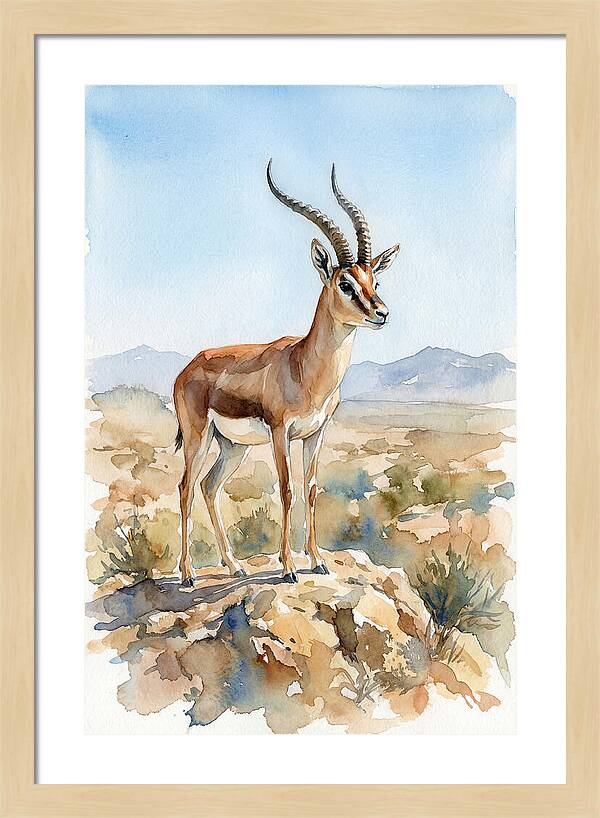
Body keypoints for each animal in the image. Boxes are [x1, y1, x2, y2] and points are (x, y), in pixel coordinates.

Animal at [173, 161, 400, 586]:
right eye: (345, 283)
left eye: (374, 280)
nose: (382, 313)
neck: (304, 367)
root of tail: (189, 367)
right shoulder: (281, 431)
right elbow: (286, 490)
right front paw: (289, 567)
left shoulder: (316, 432)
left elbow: (310, 489)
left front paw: (318, 560)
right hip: (198, 436)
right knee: (186, 487)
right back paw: (188, 574)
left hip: (233, 445)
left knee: (210, 487)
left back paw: (234, 565)